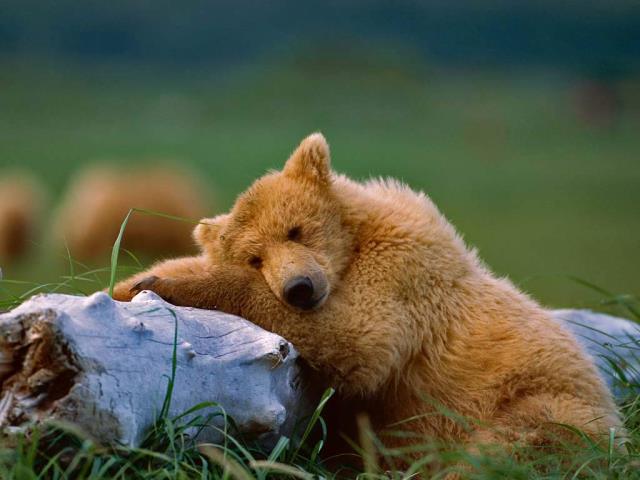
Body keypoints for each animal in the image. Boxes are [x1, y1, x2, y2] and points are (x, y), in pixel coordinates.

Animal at [112, 133, 621, 461]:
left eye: (295, 229)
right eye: (255, 257)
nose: (299, 289)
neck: (354, 244)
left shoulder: (403, 273)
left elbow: (358, 338)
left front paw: (170, 284)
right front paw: (133, 281)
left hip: (542, 400)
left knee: (513, 445)